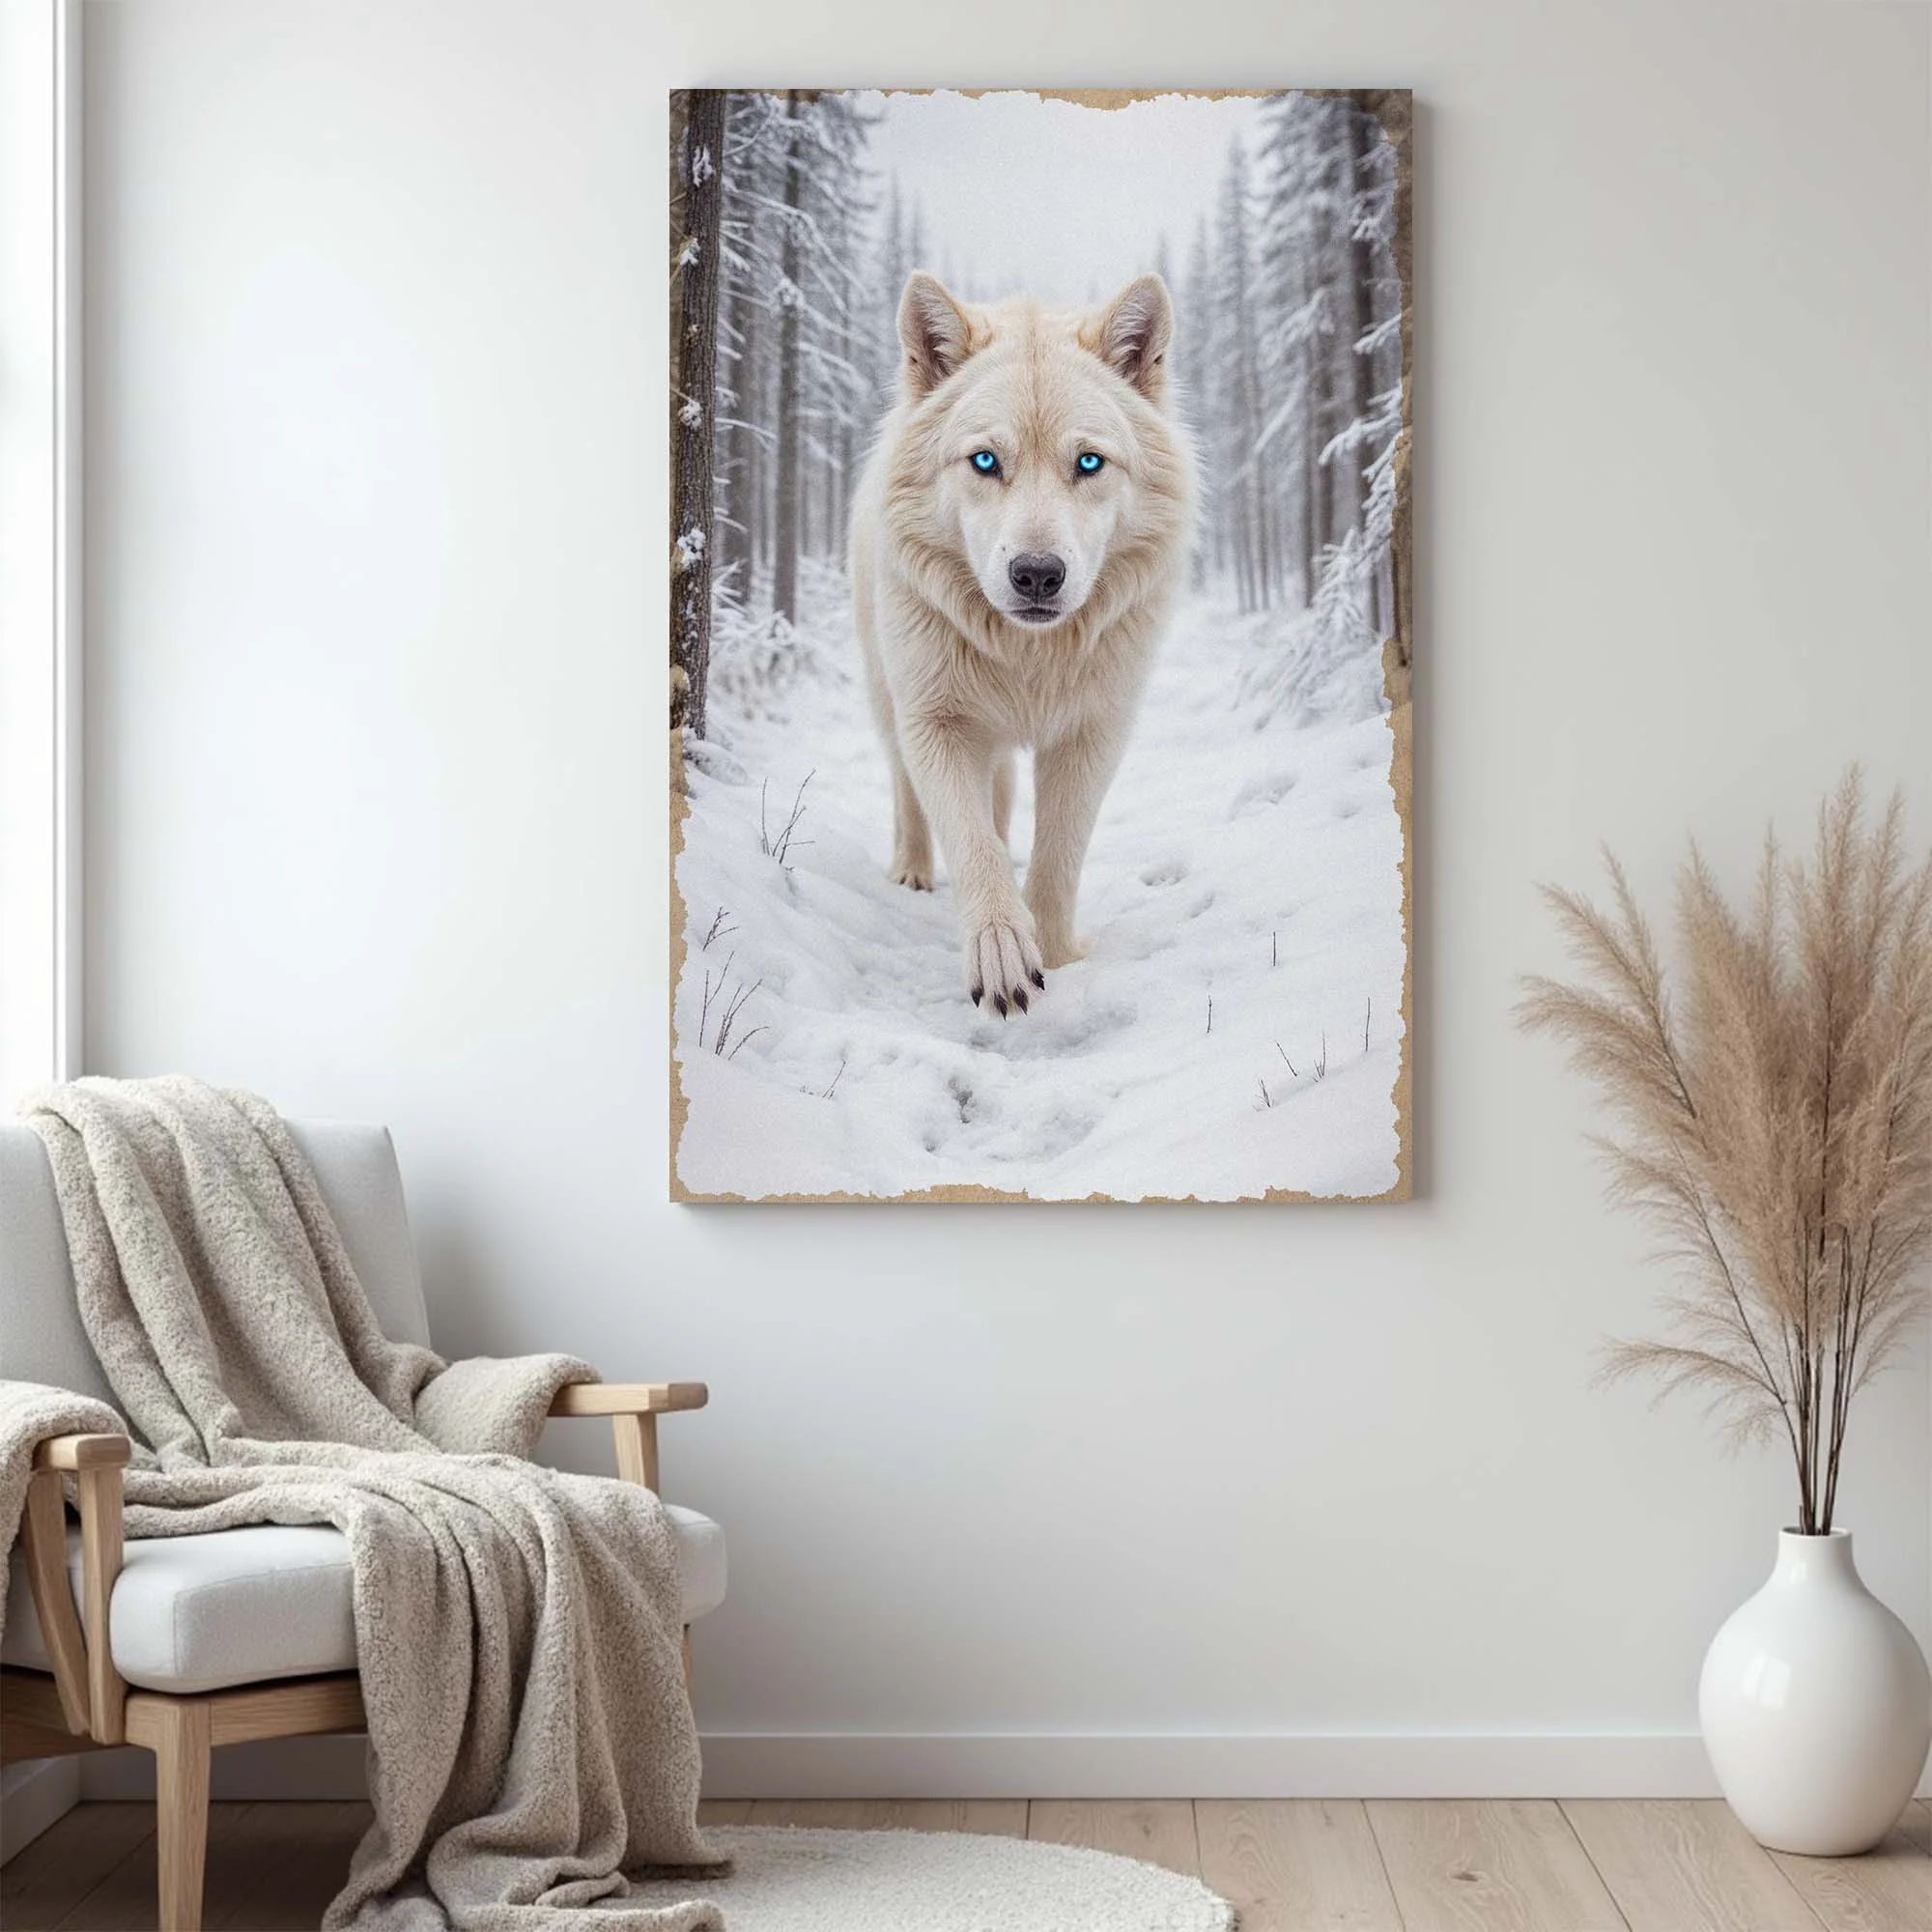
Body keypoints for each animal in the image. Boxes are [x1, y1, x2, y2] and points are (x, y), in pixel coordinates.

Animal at [848, 270, 1194, 1016]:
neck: (1026, 659)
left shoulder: (1093, 733)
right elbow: (968, 840)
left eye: (1089, 462)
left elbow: (1059, 854)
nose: (1037, 574)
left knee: (1003, 801)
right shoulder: (937, 724)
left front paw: (1055, 954)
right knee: (908, 792)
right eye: (985, 461)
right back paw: (913, 870)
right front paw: (1003, 952)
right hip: (891, 700)